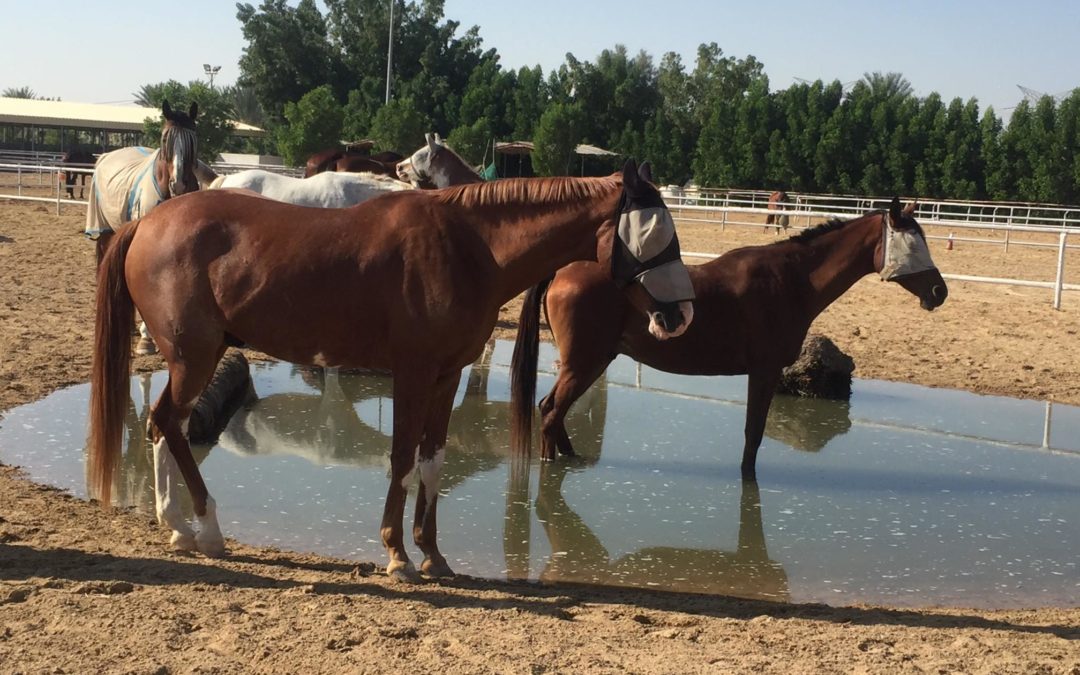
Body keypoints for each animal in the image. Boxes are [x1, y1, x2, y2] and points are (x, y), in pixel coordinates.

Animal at [88, 158, 695, 578]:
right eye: (652, 235)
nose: (680, 316)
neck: (467, 248)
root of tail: (149, 224)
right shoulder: (413, 374)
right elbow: (402, 458)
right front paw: (398, 555)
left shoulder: (447, 376)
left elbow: (432, 460)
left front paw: (432, 555)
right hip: (194, 357)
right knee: (169, 423)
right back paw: (208, 529)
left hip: (197, 357)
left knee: (164, 425)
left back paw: (177, 528)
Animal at [511, 196, 946, 479]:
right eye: (913, 242)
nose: (939, 291)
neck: (791, 280)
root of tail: (563, 270)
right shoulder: (765, 370)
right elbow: (753, 435)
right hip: (585, 361)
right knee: (550, 410)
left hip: (592, 361)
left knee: (554, 411)